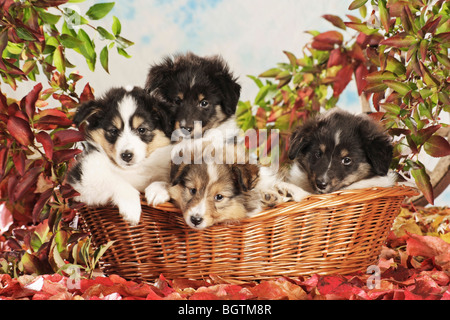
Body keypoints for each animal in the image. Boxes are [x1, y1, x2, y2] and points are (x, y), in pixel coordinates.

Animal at [67, 85, 173, 225]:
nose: (126, 155)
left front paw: (157, 190)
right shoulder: (82, 177)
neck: (132, 170)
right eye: (113, 131)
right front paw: (131, 208)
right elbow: (113, 179)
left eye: (142, 129)